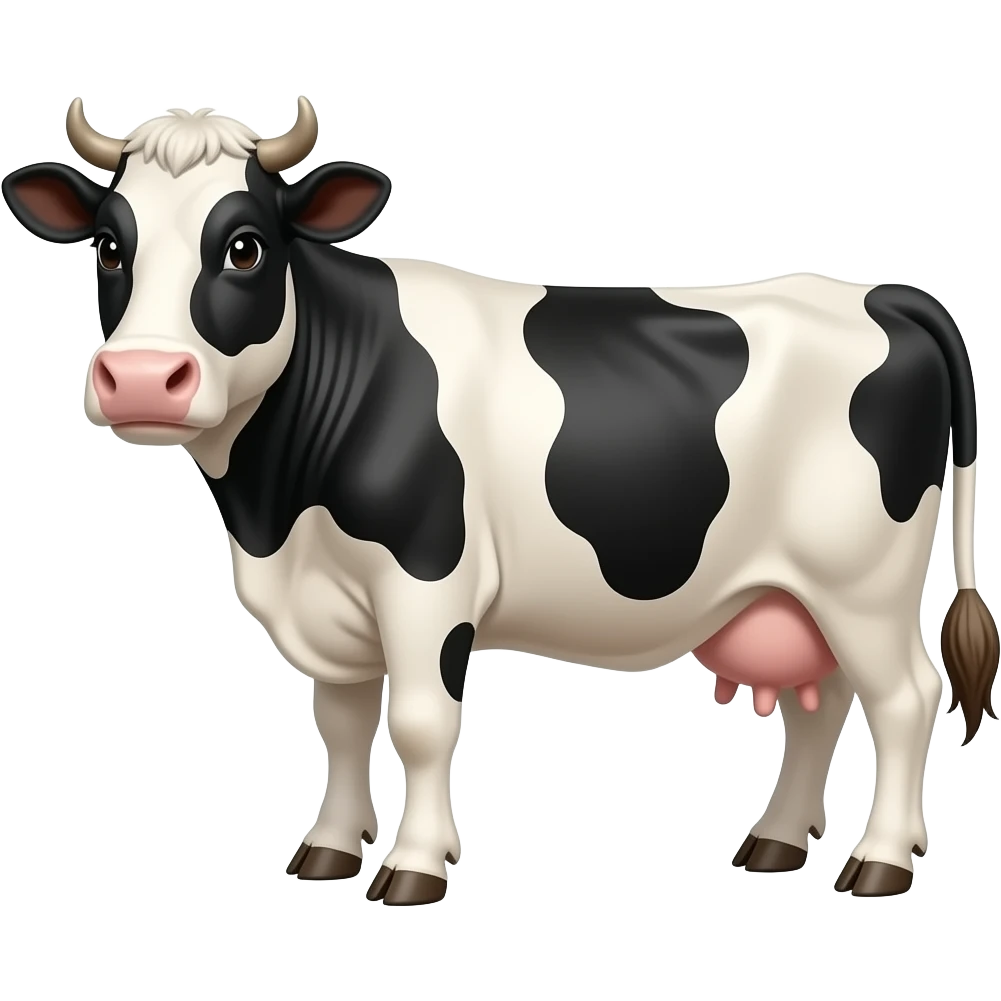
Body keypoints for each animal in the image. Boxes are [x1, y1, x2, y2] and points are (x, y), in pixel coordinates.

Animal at [3, 96, 997, 906]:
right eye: (110, 245)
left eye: (245, 245)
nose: (141, 378)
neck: (273, 512)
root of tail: (880, 292)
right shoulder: (330, 600)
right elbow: (341, 725)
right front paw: (327, 850)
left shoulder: (424, 580)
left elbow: (418, 723)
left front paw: (411, 868)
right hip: (792, 591)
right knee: (819, 703)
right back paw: (775, 842)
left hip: (861, 581)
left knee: (904, 697)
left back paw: (879, 862)